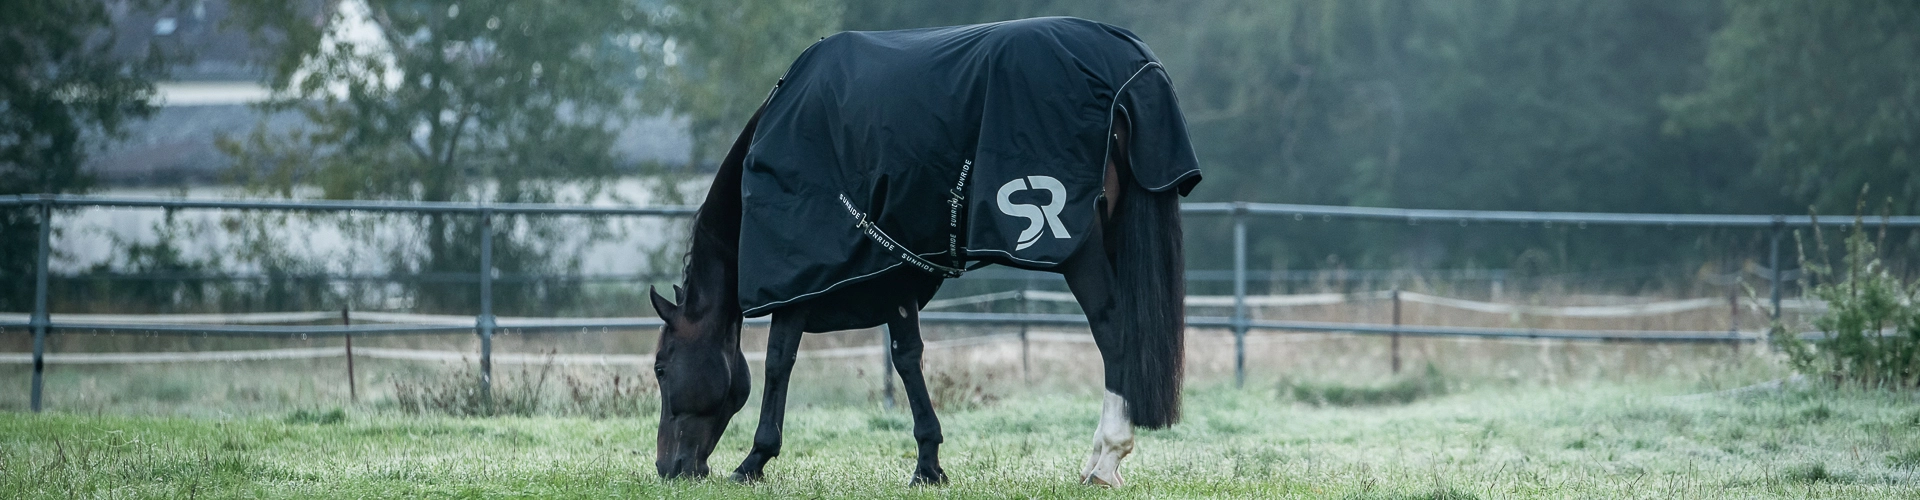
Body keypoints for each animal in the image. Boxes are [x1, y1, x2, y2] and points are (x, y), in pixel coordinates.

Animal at [646, 17, 1201, 486]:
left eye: (660, 367)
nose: (670, 468)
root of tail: (1130, 68)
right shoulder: (894, 273)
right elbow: (908, 358)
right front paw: (928, 465)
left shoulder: (800, 278)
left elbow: (780, 360)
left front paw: (754, 460)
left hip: (1076, 245)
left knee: (1113, 330)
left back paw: (1104, 459)